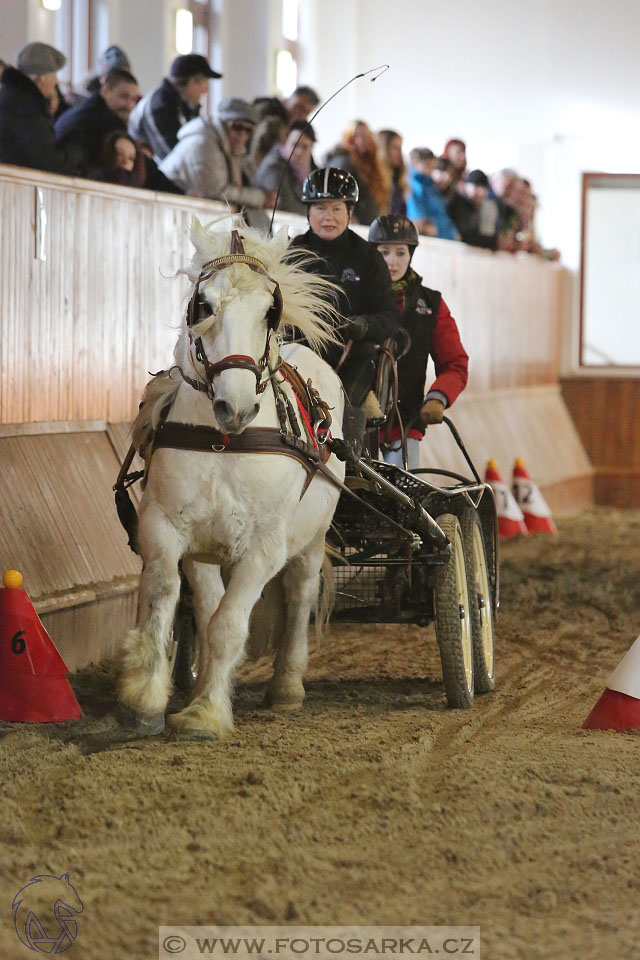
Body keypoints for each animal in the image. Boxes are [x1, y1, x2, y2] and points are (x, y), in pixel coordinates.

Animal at [115, 219, 344, 744]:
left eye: (269, 311)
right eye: (203, 305)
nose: (234, 408)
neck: (226, 444)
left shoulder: (264, 546)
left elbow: (228, 625)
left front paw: (204, 715)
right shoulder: (170, 530)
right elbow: (171, 599)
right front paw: (148, 698)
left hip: (311, 539)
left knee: (300, 594)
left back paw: (287, 685)